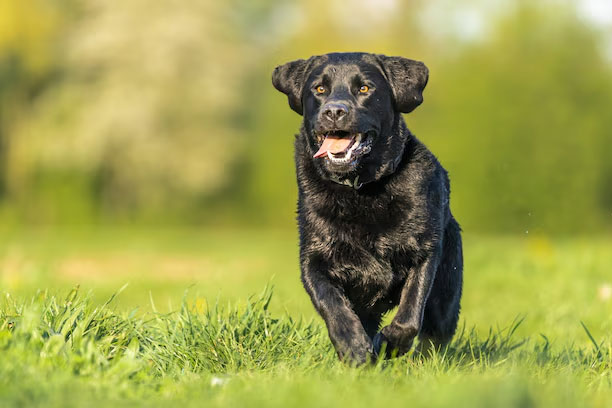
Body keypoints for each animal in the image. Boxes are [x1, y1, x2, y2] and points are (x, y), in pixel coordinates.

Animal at [274, 51, 464, 364]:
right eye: (319, 89)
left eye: (364, 88)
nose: (334, 111)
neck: (360, 190)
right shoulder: (314, 260)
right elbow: (333, 307)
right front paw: (354, 349)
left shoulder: (424, 252)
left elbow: (410, 313)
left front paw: (389, 343)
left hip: (447, 294)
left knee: (434, 334)